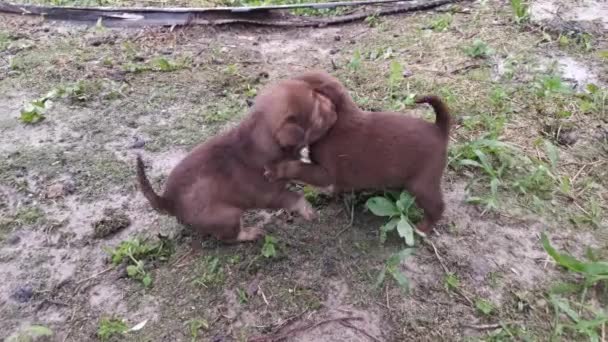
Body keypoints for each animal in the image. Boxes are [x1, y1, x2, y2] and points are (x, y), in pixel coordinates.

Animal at [135, 78, 338, 243]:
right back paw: (250, 233)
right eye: (319, 115)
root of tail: (168, 201)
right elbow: (295, 197)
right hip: (227, 216)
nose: (334, 106)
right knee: (228, 237)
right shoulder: (269, 195)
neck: (259, 138)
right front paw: (307, 210)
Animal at [266, 71, 452, 234]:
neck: (336, 125)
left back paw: (423, 228)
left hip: (422, 184)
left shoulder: (325, 172)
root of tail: (438, 129)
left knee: (438, 207)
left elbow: (299, 168)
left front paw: (276, 169)